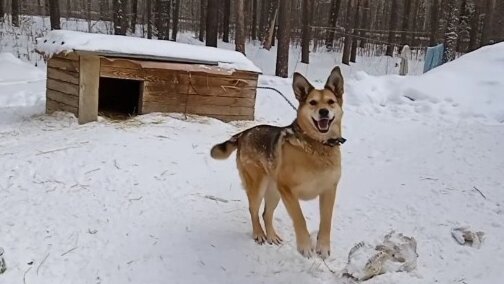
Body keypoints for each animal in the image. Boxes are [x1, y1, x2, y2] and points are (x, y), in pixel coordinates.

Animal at [210, 67, 346, 260]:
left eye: (330, 102)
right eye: (312, 102)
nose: (324, 112)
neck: (318, 145)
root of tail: (243, 134)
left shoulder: (329, 190)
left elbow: (326, 221)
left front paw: (323, 247)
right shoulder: (288, 190)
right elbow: (300, 218)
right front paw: (305, 246)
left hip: (274, 191)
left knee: (266, 213)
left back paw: (271, 236)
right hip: (259, 186)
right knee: (254, 210)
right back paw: (259, 234)